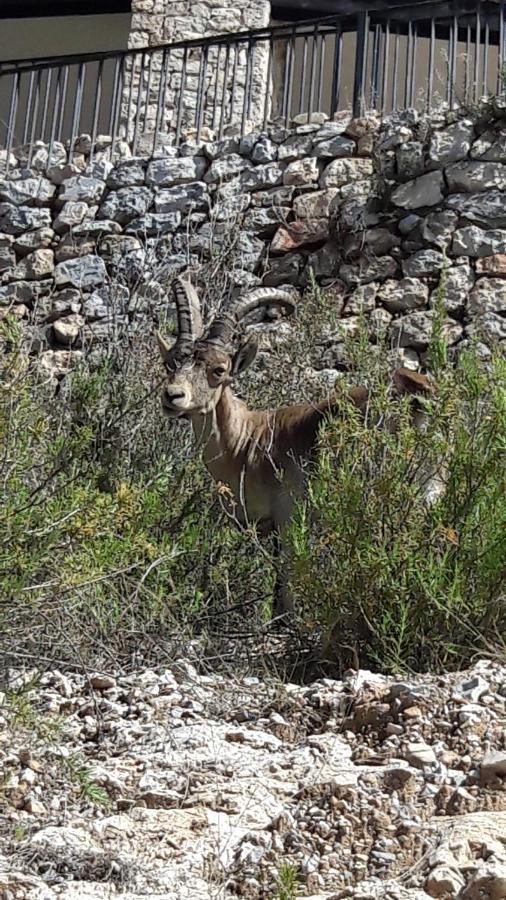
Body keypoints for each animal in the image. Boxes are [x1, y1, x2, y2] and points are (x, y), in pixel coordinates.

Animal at [158, 274, 434, 612]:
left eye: (219, 370)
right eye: (171, 362)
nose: (173, 396)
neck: (248, 442)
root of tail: (419, 396)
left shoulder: (290, 518)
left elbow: (286, 591)